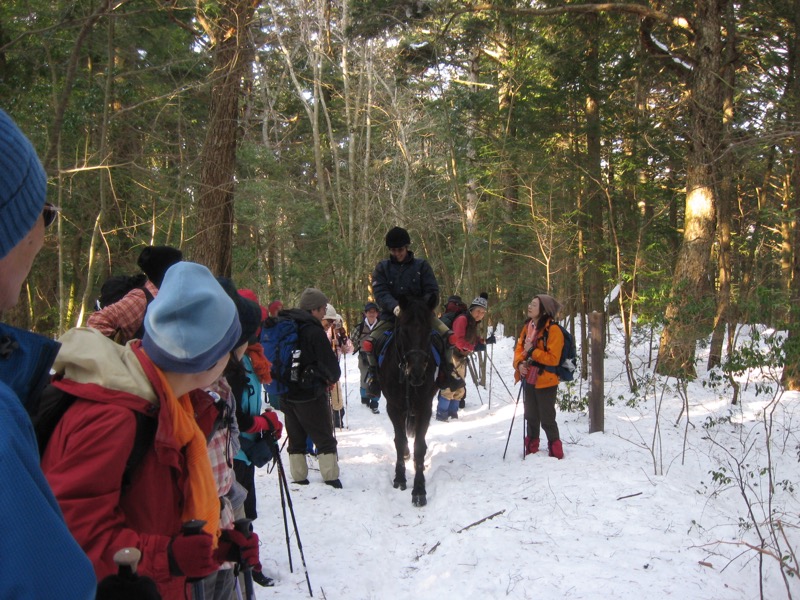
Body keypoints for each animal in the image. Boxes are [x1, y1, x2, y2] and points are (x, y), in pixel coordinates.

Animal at [378, 294, 440, 506]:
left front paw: (419, 489)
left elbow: (420, 447)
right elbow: (399, 440)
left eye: (429, 331)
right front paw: (399, 477)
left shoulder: (424, 408)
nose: (417, 373)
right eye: (404, 331)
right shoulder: (393, 407)